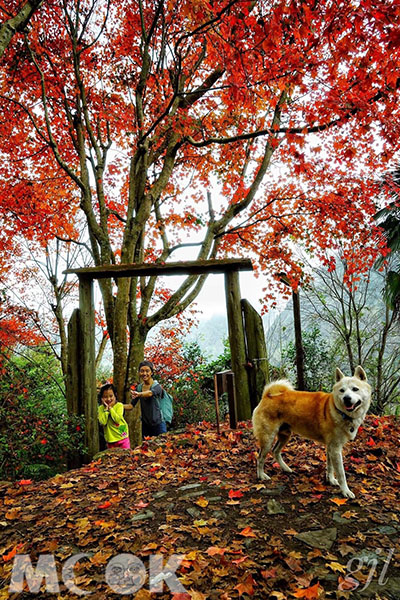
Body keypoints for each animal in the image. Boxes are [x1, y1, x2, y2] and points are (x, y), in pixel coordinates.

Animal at [253, 368, 372, 500]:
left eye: (355, 389)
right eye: (342, 390)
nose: (346, 398)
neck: (338, 411)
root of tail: (267, 395)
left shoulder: (330, 447)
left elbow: (330, 467)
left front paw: (330, 480)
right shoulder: (335, 449)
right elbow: (341, 473)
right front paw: (345, 491)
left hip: (285, 435)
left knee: (275, 451)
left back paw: (286, 468)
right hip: (268, 439)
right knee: (260, 458)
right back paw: (261, 475)